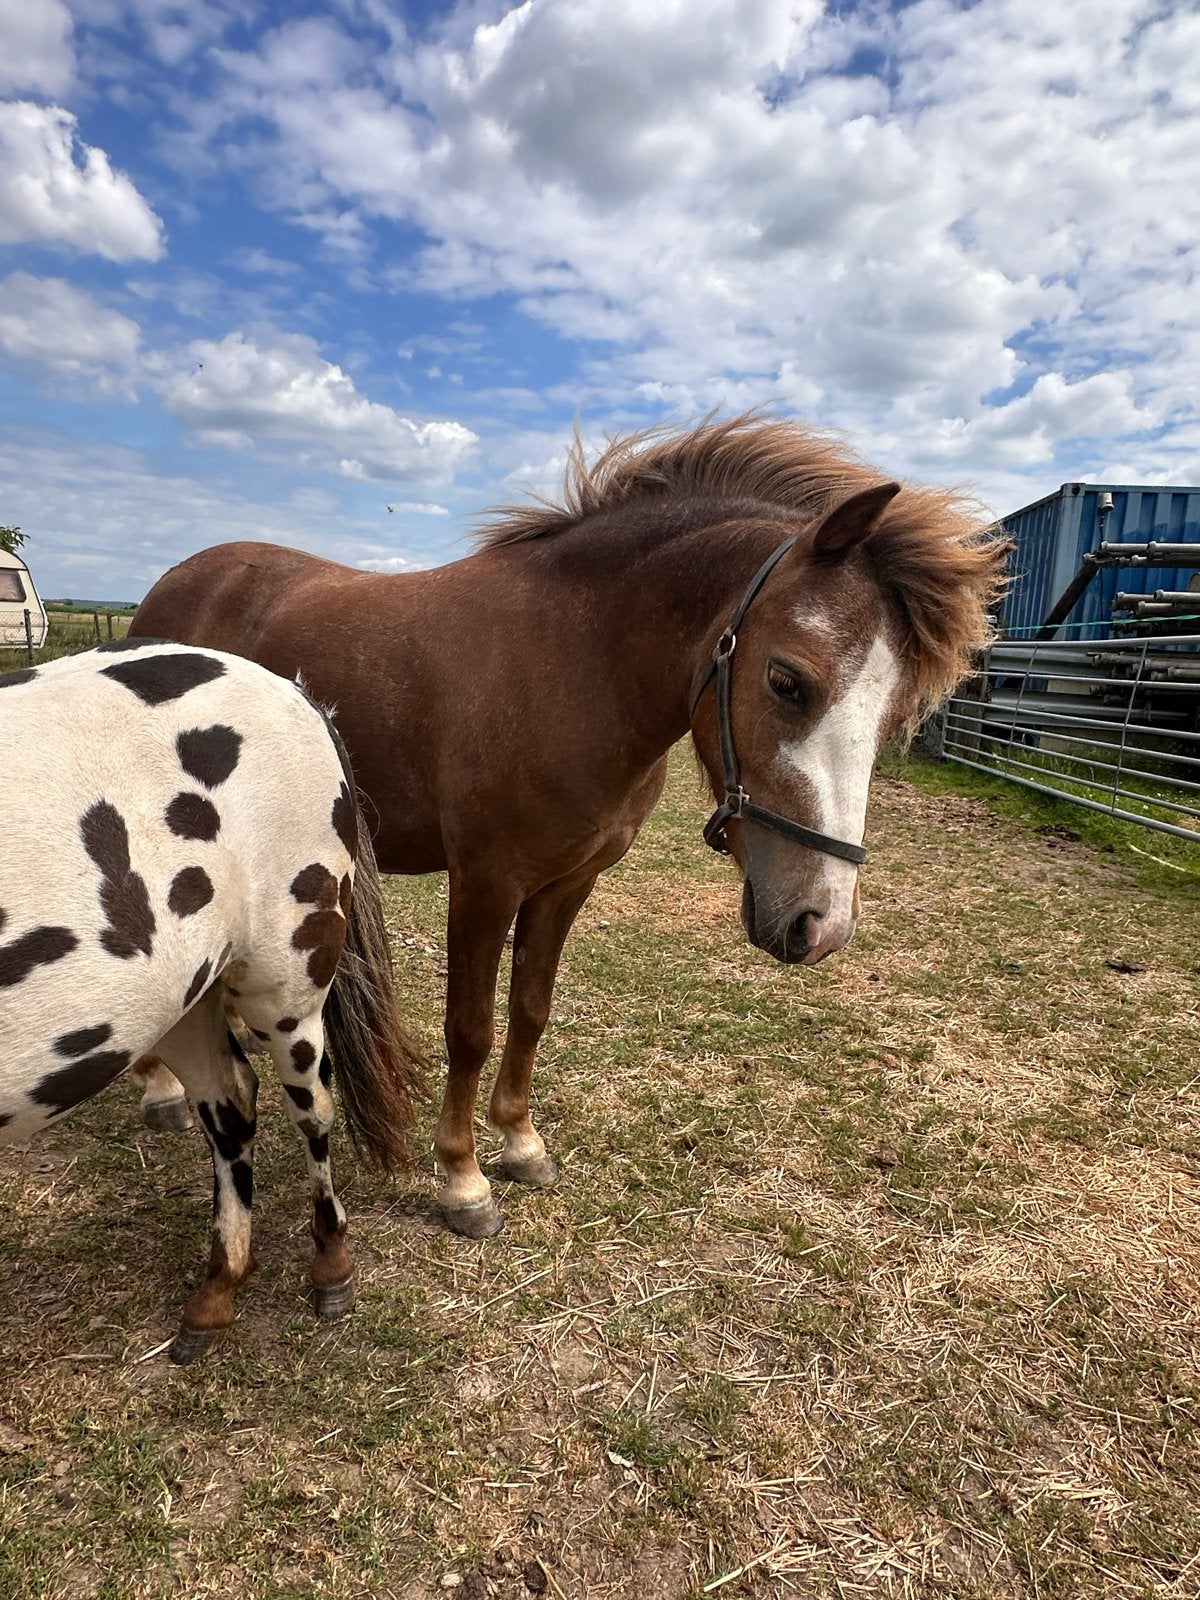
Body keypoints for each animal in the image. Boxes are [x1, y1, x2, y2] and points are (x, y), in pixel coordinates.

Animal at [0, 643, 427, 1362]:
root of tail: (294, 690)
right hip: (175, 1002)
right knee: (229, 1105)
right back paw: (219, 1285)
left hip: (284, 993)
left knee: (311, 1111)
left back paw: (330, 1266)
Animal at [131, 414, 1006, 1239]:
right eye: (788, 681)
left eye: (898, 713)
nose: (822, 925)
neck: (574, 663)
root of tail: (176, 583)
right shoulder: (485, 885)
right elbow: (471, 1028)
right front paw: (464, 1181)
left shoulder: (566, 884)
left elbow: (531, 1011)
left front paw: (519, 1144)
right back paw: (163, 1087)